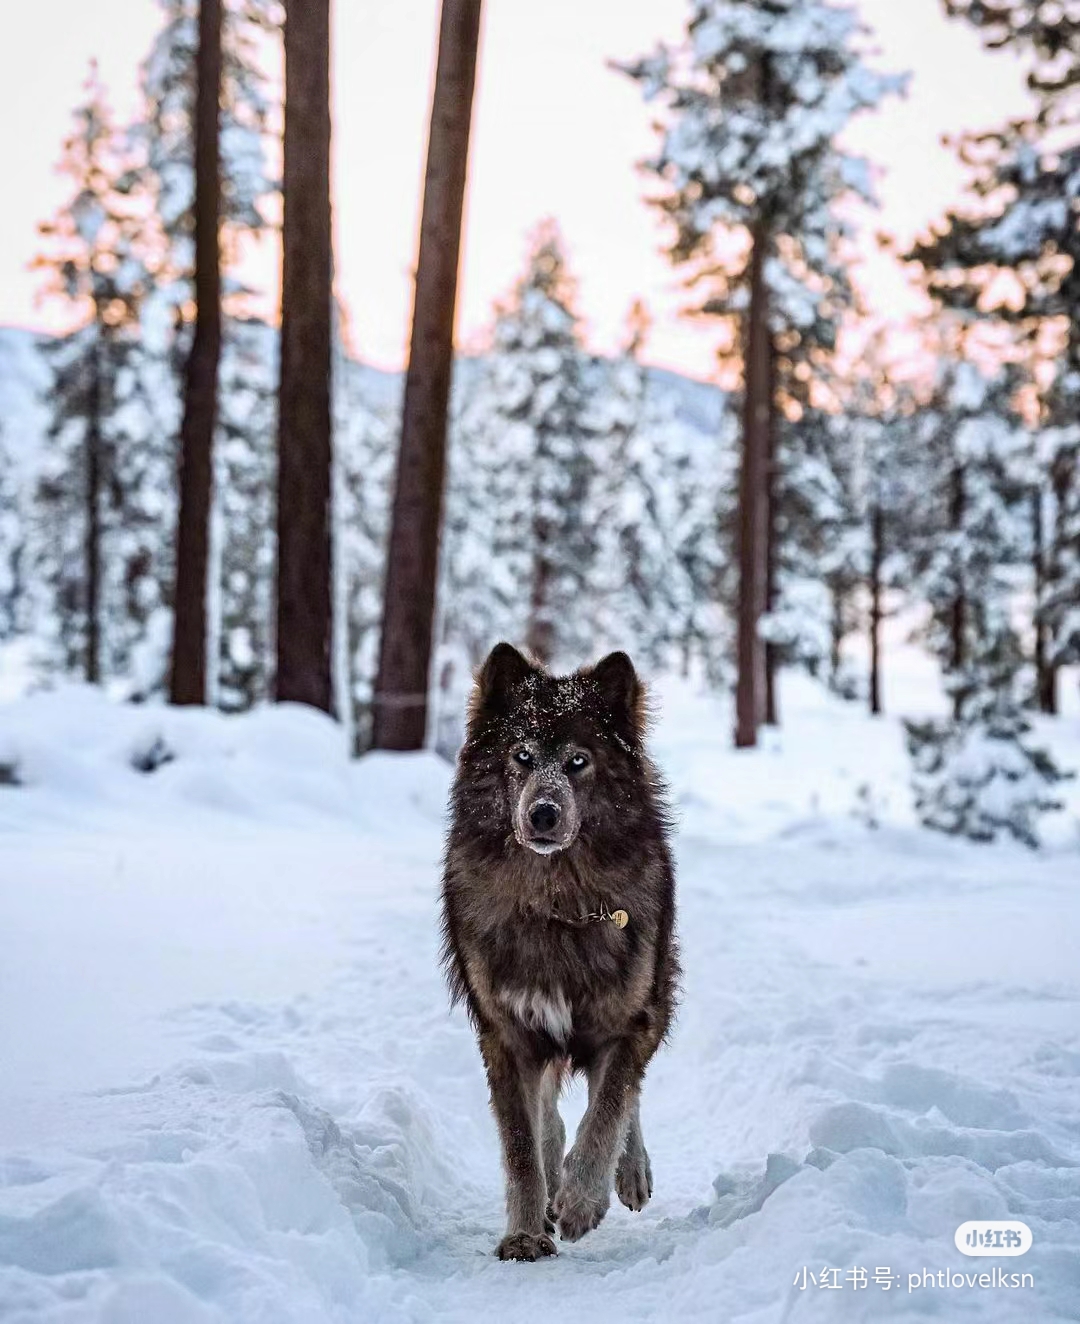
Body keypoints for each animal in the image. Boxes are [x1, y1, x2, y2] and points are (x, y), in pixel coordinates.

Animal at [436, 640, 675, 1260]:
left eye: (577, 762)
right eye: (521, 756)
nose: (542, 813)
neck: (556, 903)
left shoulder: (626, 1021)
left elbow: (610, 1106)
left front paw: (584, 1200)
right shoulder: (507, 1034)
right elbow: (521, 1143)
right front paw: (524, 1233)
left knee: (623, 1096)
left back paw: (626, 1172)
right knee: (548, 1113)